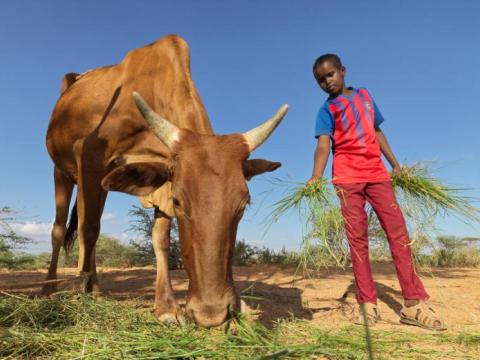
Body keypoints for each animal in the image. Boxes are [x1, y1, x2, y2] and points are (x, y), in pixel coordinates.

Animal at [43, 35, 286, 328]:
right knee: (61, 229)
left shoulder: (160, 181)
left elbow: (160, 239)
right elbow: (88, 229)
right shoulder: (90, 155)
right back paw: (50, 289)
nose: (212, 313)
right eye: (179, 202)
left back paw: (94, 286)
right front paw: (83, 293)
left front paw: (167, 307)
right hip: (63, 172)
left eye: (243, 205)